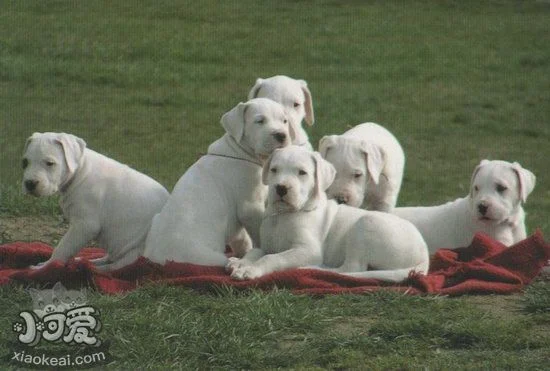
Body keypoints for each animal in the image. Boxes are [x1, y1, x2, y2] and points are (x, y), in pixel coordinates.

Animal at [22, 132, 168, 272]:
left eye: (50, 163)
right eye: (25, 162)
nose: (29, 183)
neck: (80, 172)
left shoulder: (84, 225)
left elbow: (62, 248)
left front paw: (46, 266)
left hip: (135, 253)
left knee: (115, 267)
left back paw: (93, 268)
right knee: (109, 259)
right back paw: (88, 262)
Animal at [146, 99, 294, 268]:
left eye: (284, 121)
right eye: (260, 121)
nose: (281, 135)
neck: (240, 153)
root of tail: (159, 260)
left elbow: (241, 238)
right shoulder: (250, 208)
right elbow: (257, 233)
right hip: (204, 254)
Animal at [229, 145, 432, 282]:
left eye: (302, 172)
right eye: (274, 170)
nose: (280, 188)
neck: (283, 215)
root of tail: (424, 255)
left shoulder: (307, 249)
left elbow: (273, 257)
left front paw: (251, 270)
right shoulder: (266, 245)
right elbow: (256, 252)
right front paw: (240, 262)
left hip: (366, 225)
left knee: (351, 269)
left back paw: (313, 268)